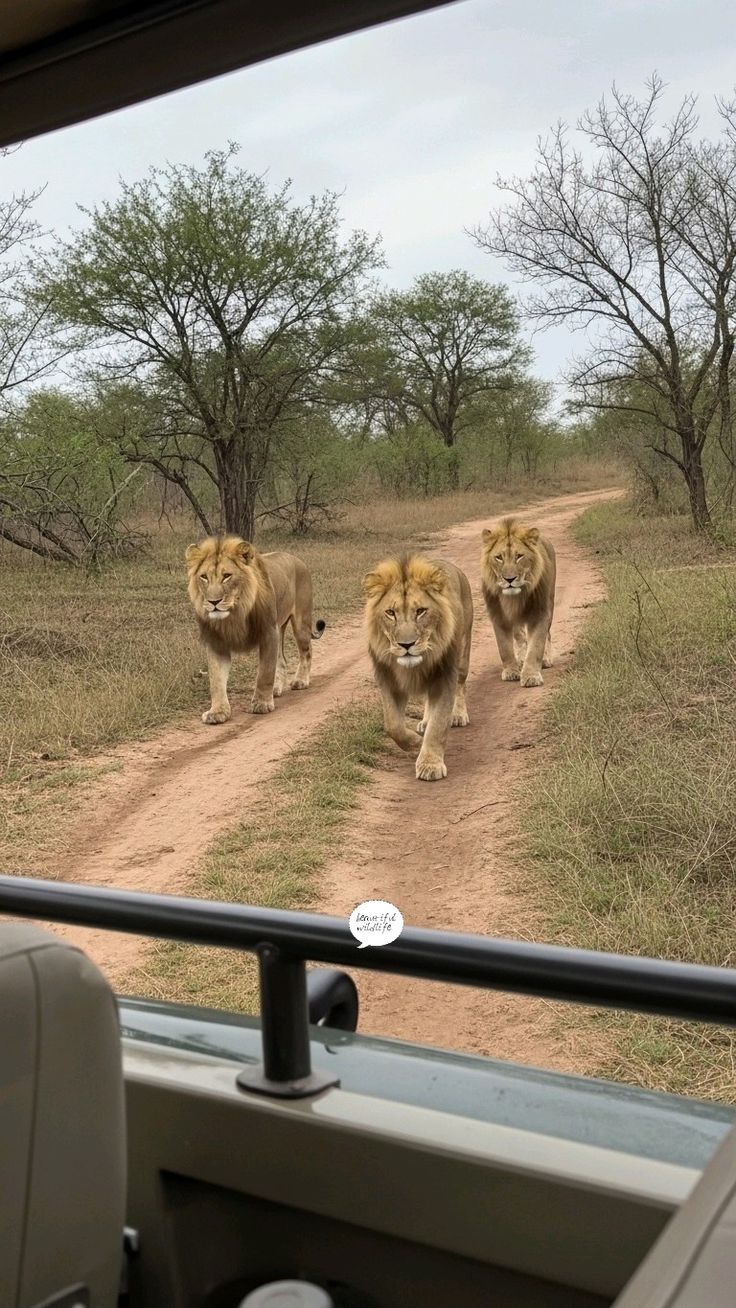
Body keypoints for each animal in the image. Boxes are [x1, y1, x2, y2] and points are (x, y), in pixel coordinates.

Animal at [185, 535, 325, 723]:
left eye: (227, 576)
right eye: (204, 577)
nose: (213, 602)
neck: (234, 615)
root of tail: (297, 559)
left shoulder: (268, 633)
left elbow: (265, 672)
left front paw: (261, 704)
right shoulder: (216, 642)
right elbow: (216, 679)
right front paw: (218, 712)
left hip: (300, 623)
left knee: (307, 651)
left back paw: (300, 681)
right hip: (279, 627)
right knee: (282, 659)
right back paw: (276, 689)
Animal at [362, 554, 473, 782]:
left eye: (421, 611)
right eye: (390, 613)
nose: (406, 645)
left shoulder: (445, 676)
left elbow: (438, 725)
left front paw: (430, 765)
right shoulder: (388, 680)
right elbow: (393, 724)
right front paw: (414, 743)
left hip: (463, 654)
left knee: (461, 685)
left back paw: (458, 715)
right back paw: (423, 722)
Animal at [480, 516, 556, 687]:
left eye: (519, 556)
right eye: (499, 557)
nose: (509, 579)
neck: (514, 598)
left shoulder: (540, 612)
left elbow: (536, 645)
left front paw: (531, 676)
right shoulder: (498, 615)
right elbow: (504, 647)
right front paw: (510, 671)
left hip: (551, 601)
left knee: (547, 633)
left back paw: (546, 659)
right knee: (519, 635)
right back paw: (520, 659)